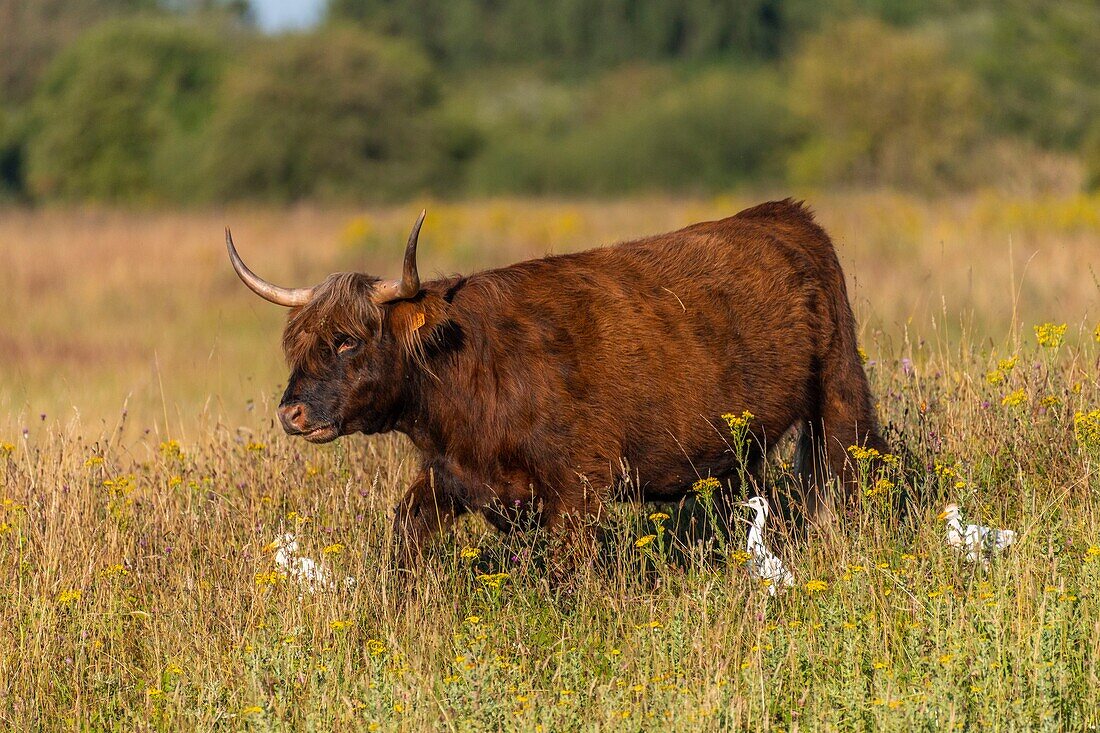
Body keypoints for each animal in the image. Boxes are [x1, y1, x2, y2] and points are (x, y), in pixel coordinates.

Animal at [227, 200, 888, 563]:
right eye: (298, 343)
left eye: (347, 340)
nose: (291, 414)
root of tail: (782, 214)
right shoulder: (454, 475)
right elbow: (406, 536)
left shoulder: (577, 487)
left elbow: (568, 577)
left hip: (840, 393)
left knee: (849, 473)